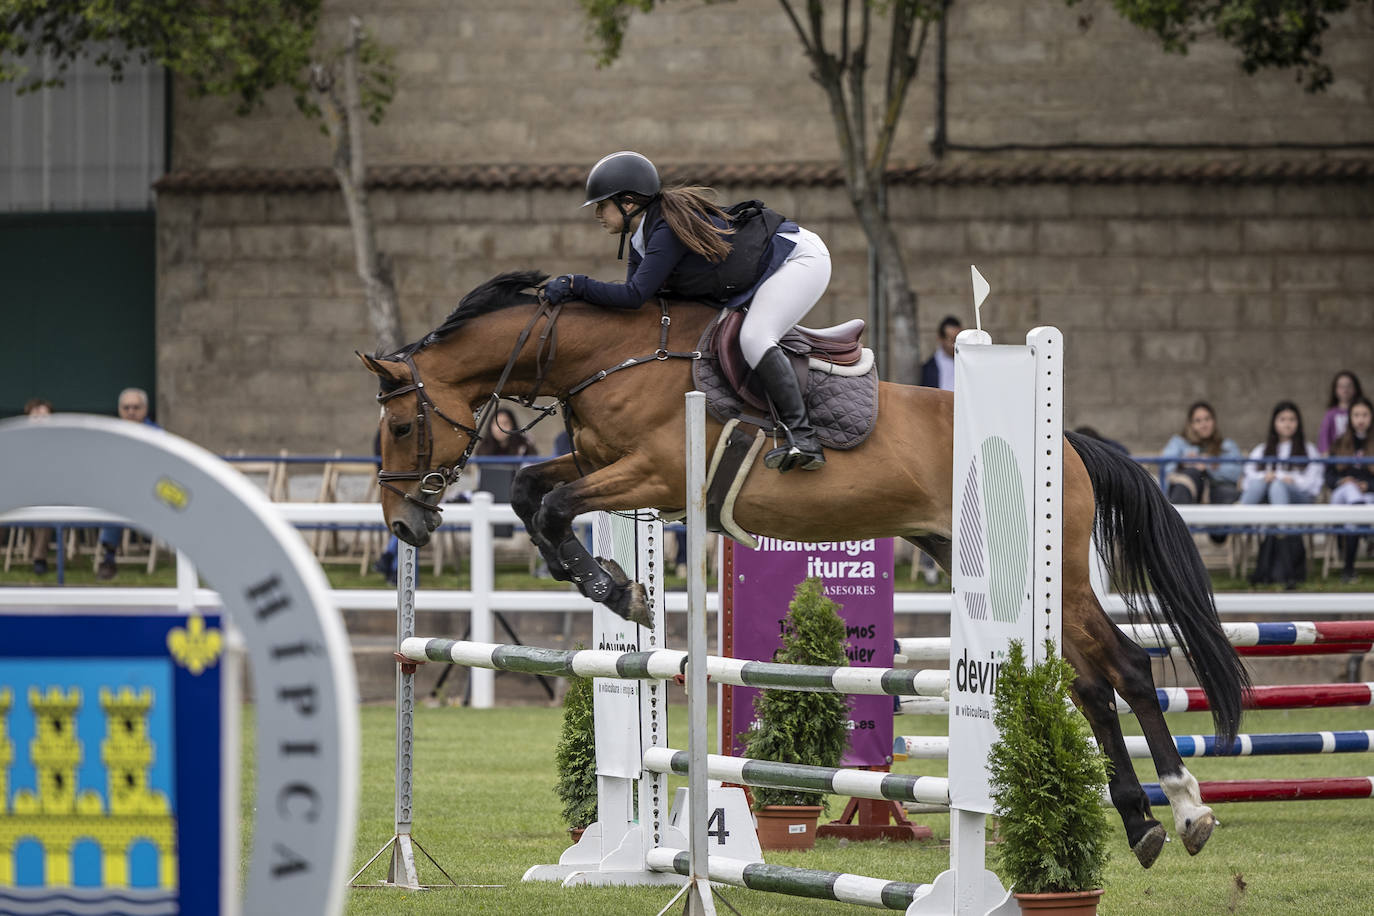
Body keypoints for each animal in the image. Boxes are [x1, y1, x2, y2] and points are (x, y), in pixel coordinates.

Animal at [359, 269, 1253, 873]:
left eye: (401, 426)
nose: (403, 525)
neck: (608, 356)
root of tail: (1065, 439)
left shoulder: (652, 473)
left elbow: (548, 506)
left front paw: (621, 588)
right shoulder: (605, 465)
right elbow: (533, 494)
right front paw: (614, 582)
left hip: (1052, 578)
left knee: (1126, 667)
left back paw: (1185, 811)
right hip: (1001, 573)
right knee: (1094, 682)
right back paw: (1148, 824)